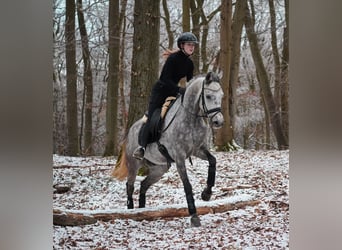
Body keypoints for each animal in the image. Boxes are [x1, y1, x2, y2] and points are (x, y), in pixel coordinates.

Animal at [112, 71, 224, 228]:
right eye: (208, 96)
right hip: (134, 164)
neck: (191, 118)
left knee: (144, 185)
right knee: (130, 186)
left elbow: (213, 161)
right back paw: (131, 211)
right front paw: (194, 216)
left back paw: (142, 211)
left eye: (222, 96)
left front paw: (206, 193)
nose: (218, 121)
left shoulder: (198, 150)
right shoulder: (179, 157)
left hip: (160, 168)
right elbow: (187, 185)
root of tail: (130, 131)